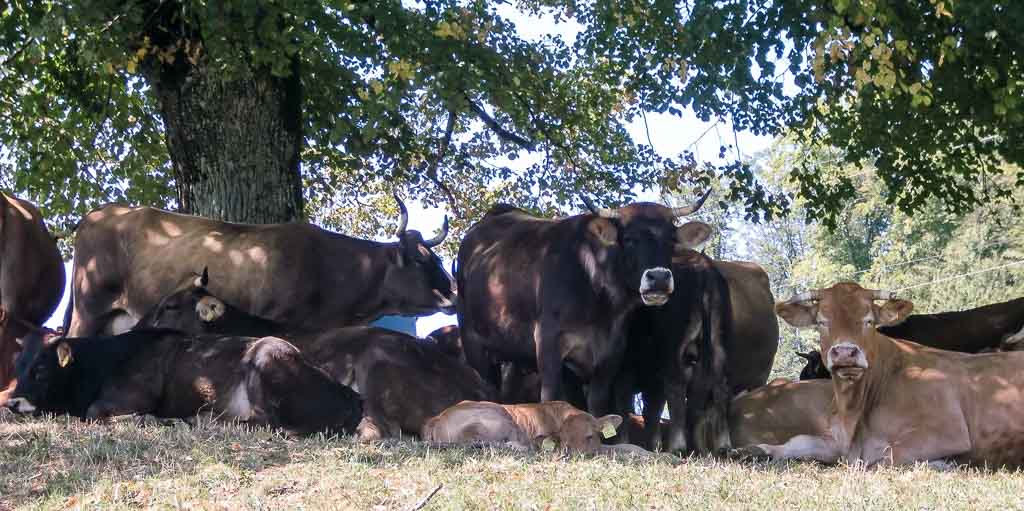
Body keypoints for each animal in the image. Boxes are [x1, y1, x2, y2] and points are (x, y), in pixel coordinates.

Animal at [7, 329, 363, 436]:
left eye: (40, 369)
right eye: (18, 365)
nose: (11, 401)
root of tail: (352, 397)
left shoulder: (130, 398)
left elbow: (96, 413)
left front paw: (150, 420)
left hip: (264, 356)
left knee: (267, 422)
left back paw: (196, 419)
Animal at [456, 191, 712, 419]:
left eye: (670, 240)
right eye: (629, 239)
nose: (658, 278)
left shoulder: (609, 357)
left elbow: (597, 409)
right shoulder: (548, 344)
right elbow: (551, 398)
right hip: (474, 343)